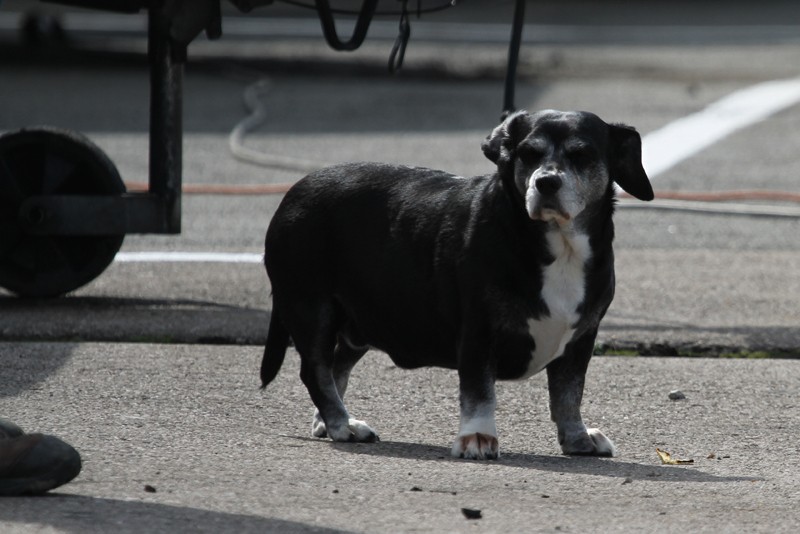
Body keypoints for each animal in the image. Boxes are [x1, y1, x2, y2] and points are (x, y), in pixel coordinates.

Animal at [260, 110, 652, 460]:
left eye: (581, 154)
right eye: (528, 153)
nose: (546, 182)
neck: (558, 245)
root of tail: (293, 193)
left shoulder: (581, 339)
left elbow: (569, 393)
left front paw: (577, 436)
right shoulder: (479, 332)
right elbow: (480, 392)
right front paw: (478, 437)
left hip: (364, 321)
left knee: (336, 366)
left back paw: (332, 421)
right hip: (312, 307)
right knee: (316, 370)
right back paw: (340, 423)